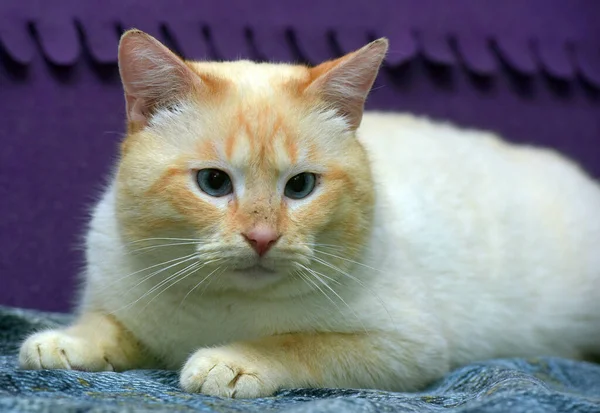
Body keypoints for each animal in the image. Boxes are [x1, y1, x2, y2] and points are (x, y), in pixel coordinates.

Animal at [18, 28, 600, 396]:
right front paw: (65, 343)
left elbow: (299, 342)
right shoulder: (119, 300)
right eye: (213, 183)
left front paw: (233, 360)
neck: (222, 306)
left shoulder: (404, 347)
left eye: (300, 187)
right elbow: (105, 325)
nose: (261, 237)